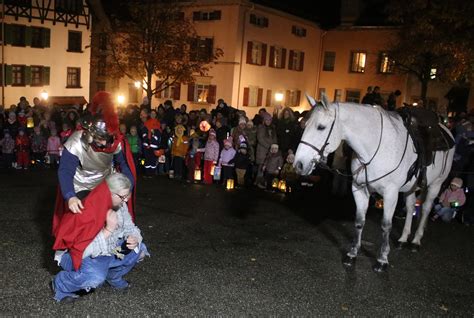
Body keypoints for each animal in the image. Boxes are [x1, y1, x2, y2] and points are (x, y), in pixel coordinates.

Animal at [294, 93, 454, 272]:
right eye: (304, 125)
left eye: (321, 127)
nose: (299, 164)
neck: (375, 147)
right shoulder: (359, 189)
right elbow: (359, 221)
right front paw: (352, 254)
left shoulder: (391, 193)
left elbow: (386, 225)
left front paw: (382, 259)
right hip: (410, 188)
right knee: (411, 207)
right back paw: (403, 238)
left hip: (436, 184)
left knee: (426, 209)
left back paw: (415, 241)